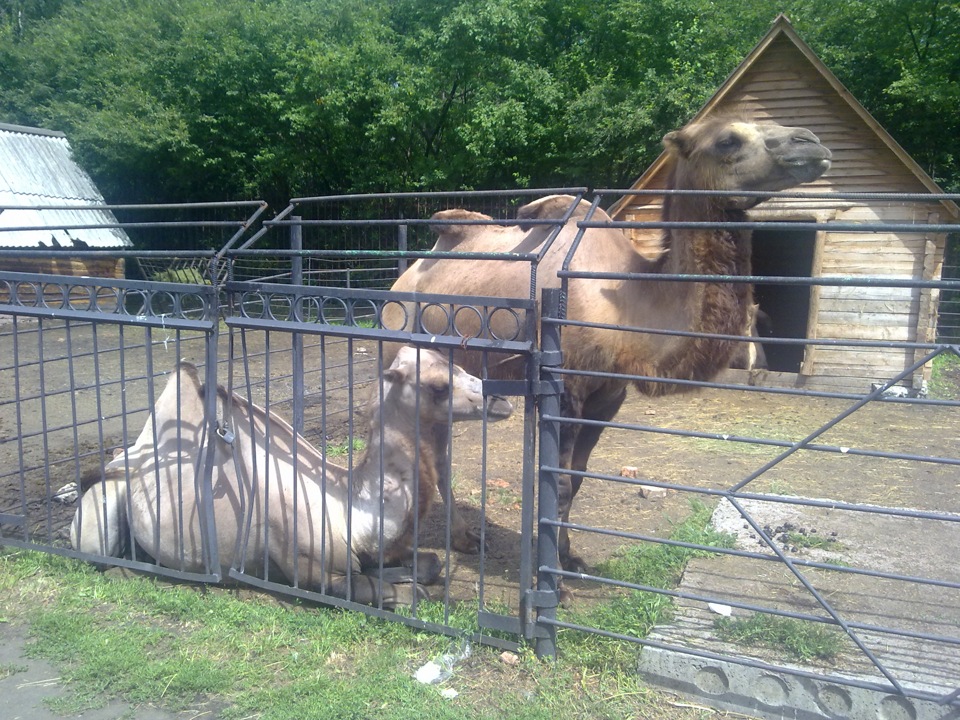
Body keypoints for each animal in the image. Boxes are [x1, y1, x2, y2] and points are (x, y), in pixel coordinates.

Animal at [71, 346, 512, 604]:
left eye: (459, 366)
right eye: (438, 386)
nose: (502, 398)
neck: (348, 509)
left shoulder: (377, 546)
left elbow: (429, 563)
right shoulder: (298, 562)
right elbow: (373, 588)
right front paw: (405, 588)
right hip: (99, 514)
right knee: (97, 554)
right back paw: (131, 569)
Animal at [378, 115, 828, 572]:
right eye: (727, 140)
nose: (811, 141)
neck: (628, 301)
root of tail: (402, 279)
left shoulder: (610, 395)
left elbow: (577, 479)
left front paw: (569, 556)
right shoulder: (567, 389)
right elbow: (558, 483)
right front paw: (553, 571)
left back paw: (464, 537)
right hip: (402, 347)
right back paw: (450, 538)